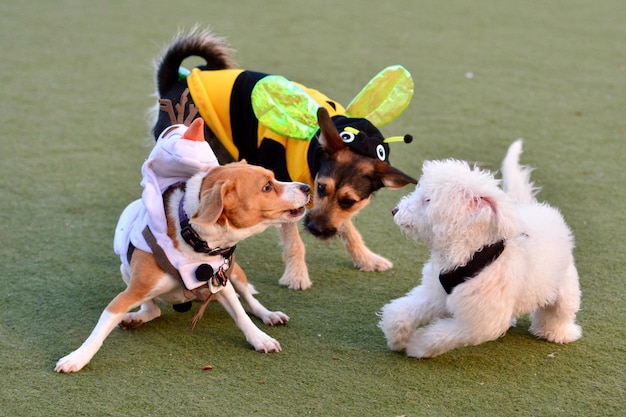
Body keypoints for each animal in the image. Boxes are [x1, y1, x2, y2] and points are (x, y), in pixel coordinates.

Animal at [151, 27, 414, 290]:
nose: (314, 228)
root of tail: (176, 81)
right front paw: (297, 275)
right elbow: (295, 242)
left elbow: (348, 227)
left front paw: (365, 258)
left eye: (349, 202)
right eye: (321, 188)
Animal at [378, 141, 584, 358]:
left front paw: (416, 345)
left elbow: (439, 336)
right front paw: (397, 339)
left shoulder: (480, 322)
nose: (394, 210)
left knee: (559, 313)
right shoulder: (435, 294)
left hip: (565, 287)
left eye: (427, 200)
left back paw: (559, 333)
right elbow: (399, 313)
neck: (472, 251)